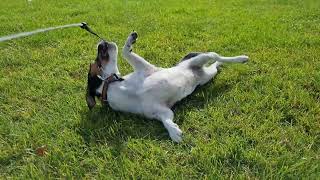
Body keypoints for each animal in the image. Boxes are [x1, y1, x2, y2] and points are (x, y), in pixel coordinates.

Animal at [85, 32, 248, 142]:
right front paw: (173, 131)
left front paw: (130, 39)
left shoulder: (146, 68)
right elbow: (167, 120)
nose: (100, 43)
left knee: (214, 54)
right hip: (207, 75)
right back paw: (223, 64)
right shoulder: (161, 111)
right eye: (98, 61)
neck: (116, 87)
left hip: (198, 59)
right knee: (215, 63)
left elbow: (126, 52)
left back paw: (241, 58)